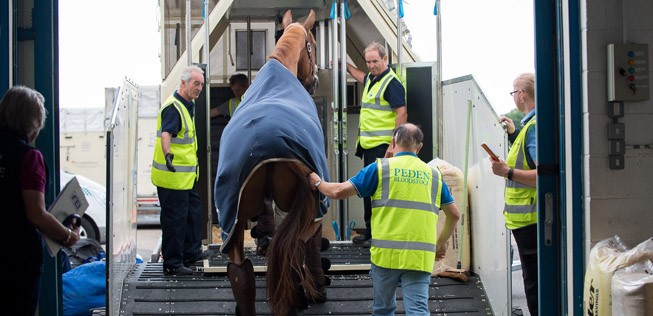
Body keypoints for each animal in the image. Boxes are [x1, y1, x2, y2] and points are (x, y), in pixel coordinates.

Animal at [214, 9, 332, 316]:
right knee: (299, 245)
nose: (315, 81)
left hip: (234, 216)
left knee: (241, 270)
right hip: (308, 203)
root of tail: (265, 141)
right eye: (313, 45)